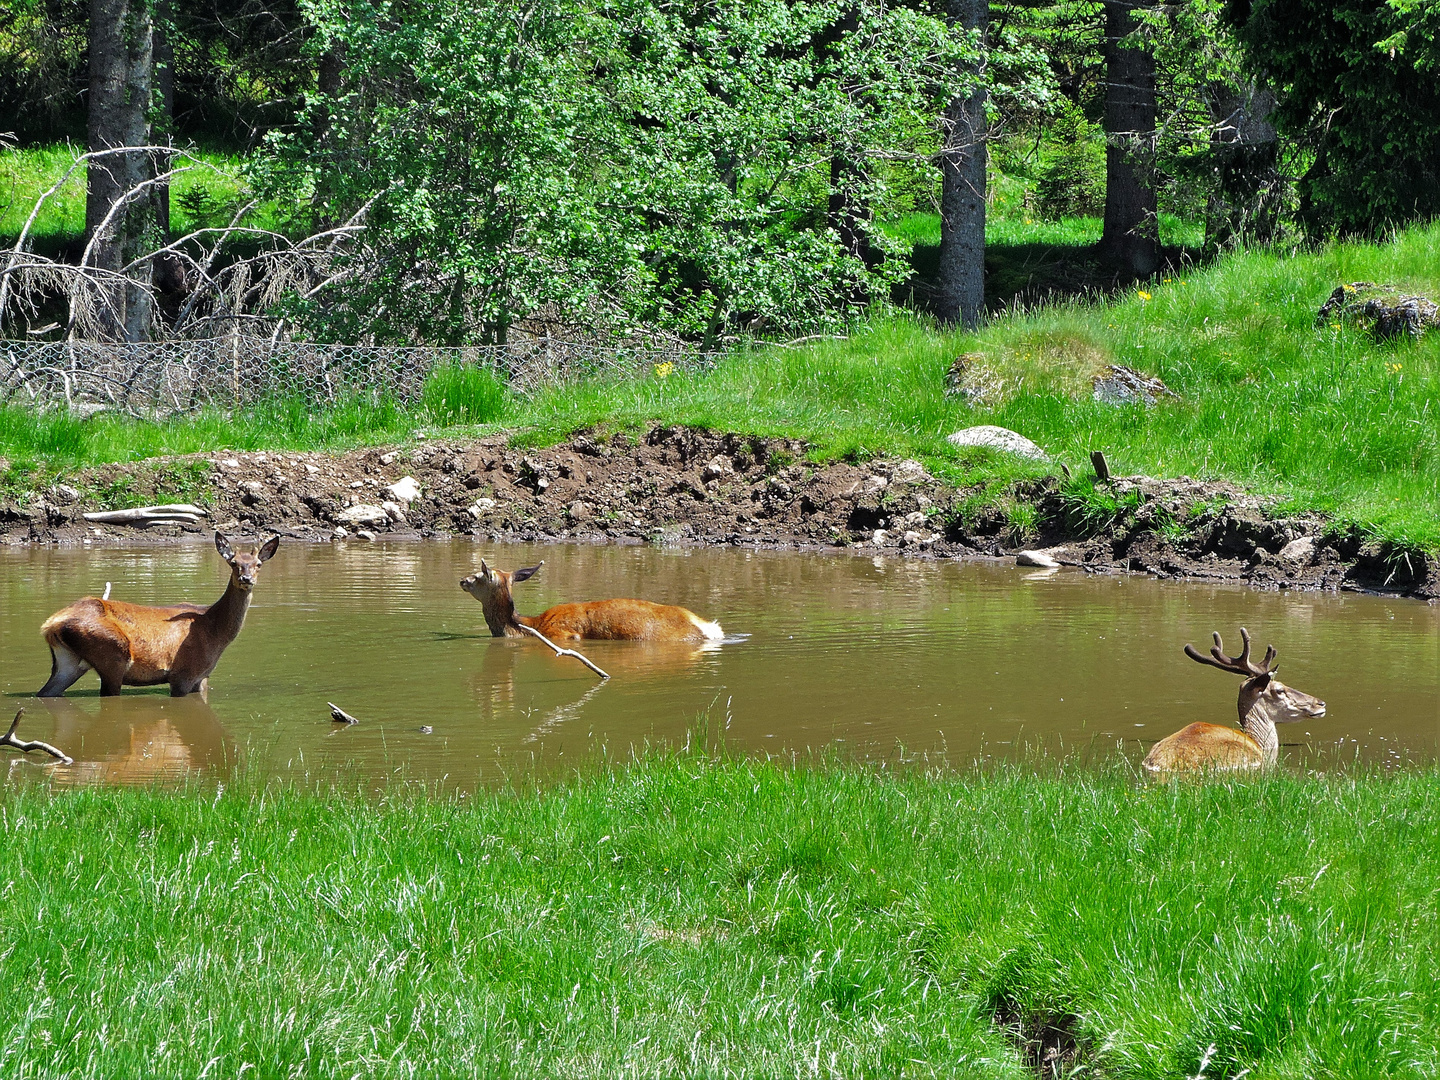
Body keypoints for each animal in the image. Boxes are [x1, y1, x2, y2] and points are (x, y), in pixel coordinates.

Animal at [36, 532, 279, 702]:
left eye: (258, 564)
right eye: (233, 563)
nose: (246, 578)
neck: (215, 632)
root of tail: (50, 625)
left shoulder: (203, 677)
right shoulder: (183, 673)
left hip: (68, 660)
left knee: (45, 692)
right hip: (111, 655)